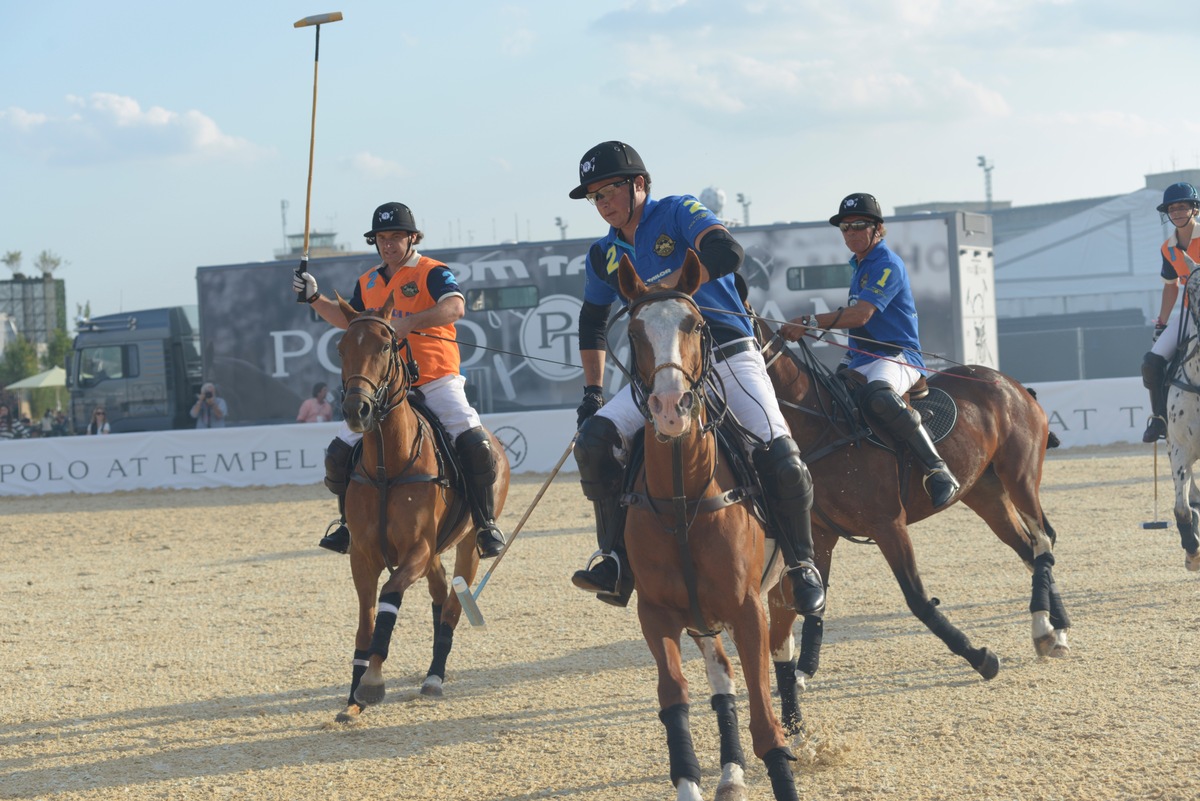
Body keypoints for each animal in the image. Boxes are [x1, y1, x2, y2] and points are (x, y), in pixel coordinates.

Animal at [331, 296, 508, 724]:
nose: (356, 411)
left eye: (385, 346)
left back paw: (434, 677)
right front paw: (353, 698)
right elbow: (365, 622)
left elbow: (389, 597)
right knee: (440, 596)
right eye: (341, 348)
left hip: (466, 546)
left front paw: (372, 681)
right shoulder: (363, 556)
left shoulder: (417, 549)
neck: (387, 466)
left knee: (453, 609)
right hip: (436, 552)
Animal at [619, 253, 796, 801]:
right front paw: (692, 781)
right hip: (700, 617)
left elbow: (765, 721)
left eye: (695, 324)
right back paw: (731, 773)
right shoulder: (657, 613)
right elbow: (674, 698)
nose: (670, 408)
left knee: (784, 645)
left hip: (784, 582)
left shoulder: (747, 609)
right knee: (722, 678)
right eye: (634, 331)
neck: (682, 496)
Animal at [758, 311, 1070, 733]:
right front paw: (802, 670)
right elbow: (814, 601)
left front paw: (981, 658)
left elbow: (918, 599)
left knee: (1043, 538)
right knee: (1029, 548)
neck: (817, 424)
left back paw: (1047, 627)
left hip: (1019, 475)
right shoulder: (821, 533)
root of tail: (1015, 386)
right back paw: (1054, 629)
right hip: (984, 492)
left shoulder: (888, 524)